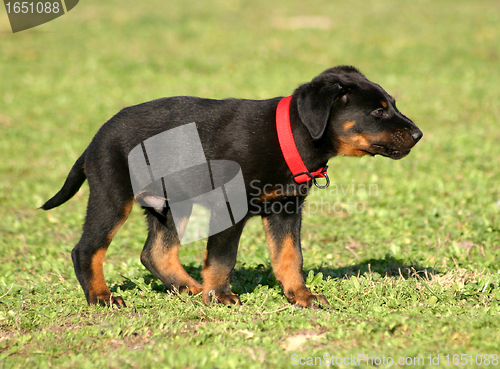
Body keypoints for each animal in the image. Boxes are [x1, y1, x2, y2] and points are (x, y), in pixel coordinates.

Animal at [42, 66, 422, 308]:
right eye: (378, 111)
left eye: (393, 104)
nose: (419, 134)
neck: (290, 136)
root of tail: (94, 141)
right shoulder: (228, 207)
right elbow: (223, 257)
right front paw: (220, 296)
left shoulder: (286, 210)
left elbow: (290, 257)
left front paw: (301, 296)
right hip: (112, 195)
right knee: (86, 249)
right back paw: (102, 298)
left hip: (172, 204)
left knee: (156, 253)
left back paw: (191, 289)